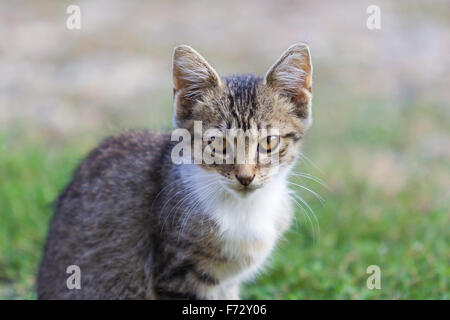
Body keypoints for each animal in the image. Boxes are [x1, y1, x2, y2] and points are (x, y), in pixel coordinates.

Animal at [37, 43, 312, 300]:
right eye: (218, 143)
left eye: (269, 142)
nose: (245, 177)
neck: (243, 209)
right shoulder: (176, 273)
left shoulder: (226, 284)